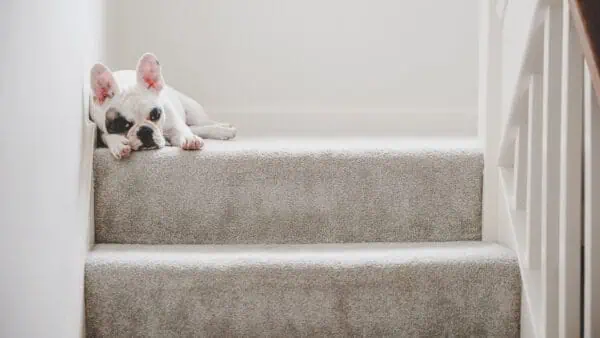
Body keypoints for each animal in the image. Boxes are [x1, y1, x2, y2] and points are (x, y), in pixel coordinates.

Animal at [89, 51, 237, 160]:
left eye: (155, 115)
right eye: (122, 125)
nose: (144, 131)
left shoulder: (173, 121)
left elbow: (181, 129)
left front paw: (189, 139)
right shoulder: (101, 128)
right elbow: (107, 136)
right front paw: (118, 143)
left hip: (193, 112)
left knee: (202, 124)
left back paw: (223, 128)